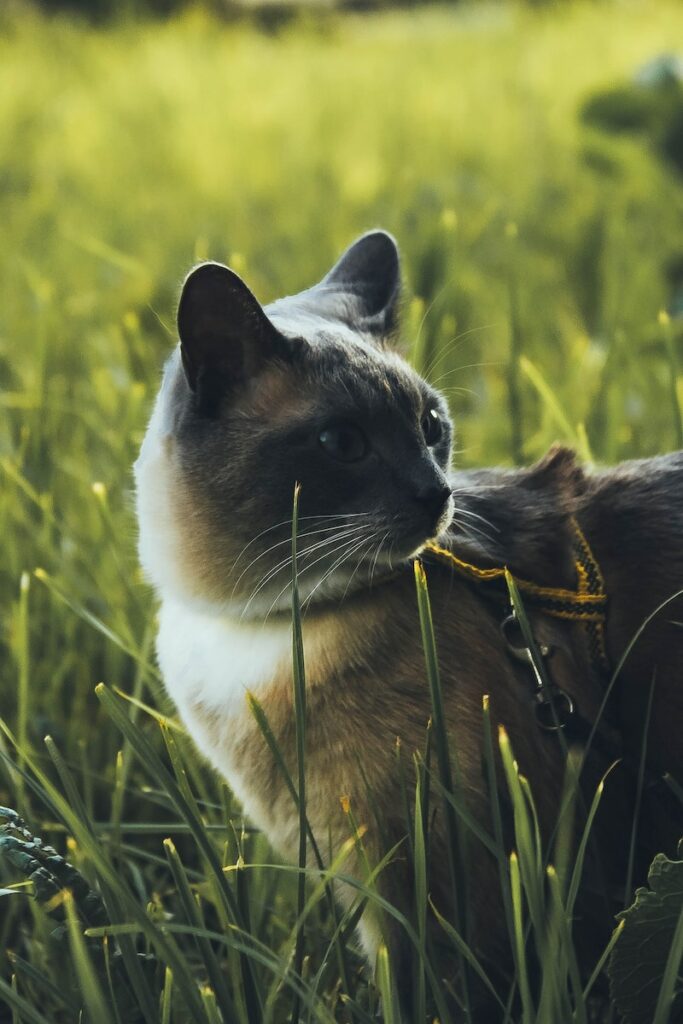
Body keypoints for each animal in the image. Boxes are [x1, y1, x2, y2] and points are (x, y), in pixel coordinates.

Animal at [135, 230, 683, 1015]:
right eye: (341, 443)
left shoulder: (434, 887)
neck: (259, 628)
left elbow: (427, 996)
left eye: (431, 427)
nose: (437, 493)